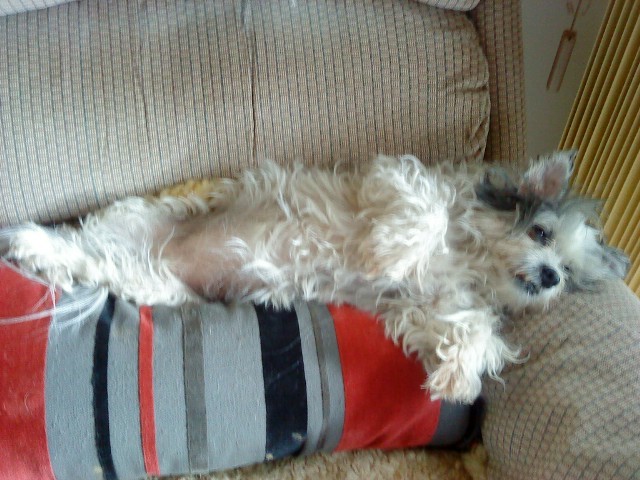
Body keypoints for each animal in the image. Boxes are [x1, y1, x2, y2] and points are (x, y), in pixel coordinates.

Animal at [2, 150, 629, 403]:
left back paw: (35, 250)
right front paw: (391, 251)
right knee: (80, 246)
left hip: (148, 280)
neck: (471, 258)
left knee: (89, 262)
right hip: (138, 221)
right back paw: (29, 240)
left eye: (570, 272)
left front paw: (458, 377)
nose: (548, 277)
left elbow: (472, 329)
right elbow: (423, 215)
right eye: (541, 233)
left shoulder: (423, 305)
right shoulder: (397, 181)